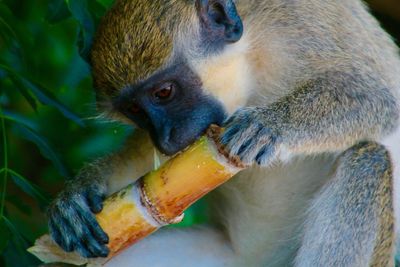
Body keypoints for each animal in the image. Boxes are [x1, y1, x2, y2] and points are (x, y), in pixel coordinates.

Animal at [47, 1, 400, 266]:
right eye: (135, 110)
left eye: (163, 93)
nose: (167, 140)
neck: (252, 58)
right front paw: (82, 188)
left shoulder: (304, 27)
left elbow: (382, 101)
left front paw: (270, 126)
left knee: (369, 161)